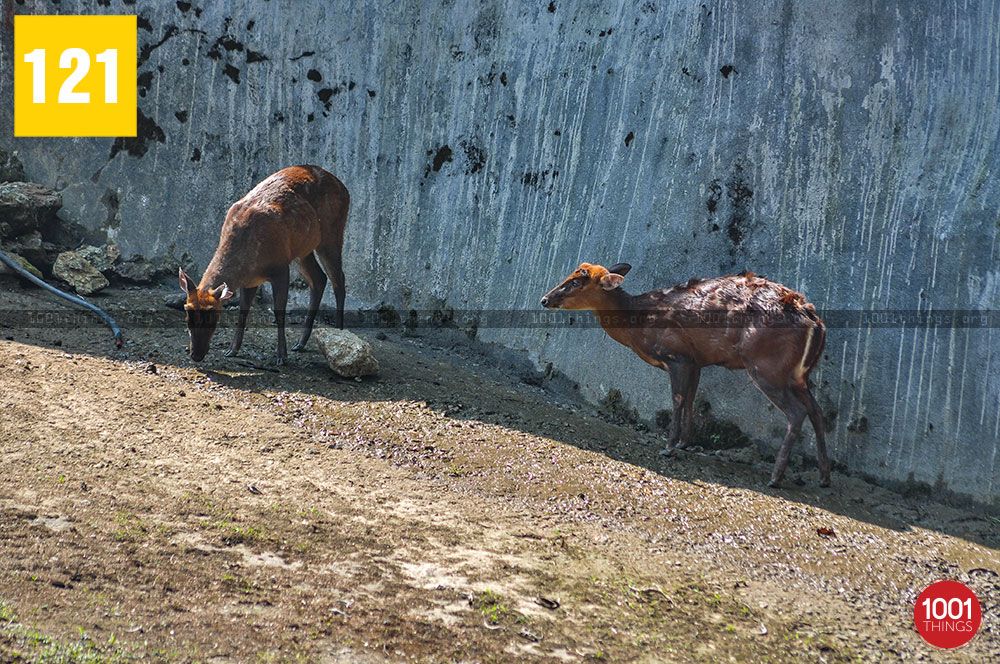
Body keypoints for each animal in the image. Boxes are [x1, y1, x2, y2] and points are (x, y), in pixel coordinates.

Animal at [178, 165, 349, 365]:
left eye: (213, 317)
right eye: (187, 315)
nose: (196, 355)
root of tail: (344, 187)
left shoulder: (280, 266)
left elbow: (279, 312)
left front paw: (281, 356)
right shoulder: (250, 280)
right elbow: (243, 311)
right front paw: (232, 350)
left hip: (332, 233)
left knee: (338, 280)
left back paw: (340, 333)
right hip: (303, 250)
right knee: (319, 279)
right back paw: (300, 343)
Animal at [541, 262, 830, 488]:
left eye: (575, 281)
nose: (544, 299)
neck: (639, 322)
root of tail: (815, 322)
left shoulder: (676, 356)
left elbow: (677, 398)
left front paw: (668, 446)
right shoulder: (696, 361)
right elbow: (691, 398)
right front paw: (683, 443)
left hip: (766, 367)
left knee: (797, 412)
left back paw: (775, 477)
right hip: (797, 376)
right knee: (816, 411)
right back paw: (824, 477)